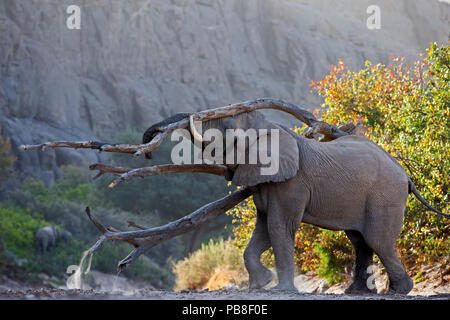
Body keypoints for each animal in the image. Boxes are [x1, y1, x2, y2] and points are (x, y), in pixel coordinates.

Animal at [143, 109, 446, 294]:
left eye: (227, 129)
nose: (147, 153)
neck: (271, 127)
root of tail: (406, 175)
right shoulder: (266, 181)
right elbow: (264, 227)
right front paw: (260, 285)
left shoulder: (292, 182)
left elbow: (279, 226)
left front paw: (280, 289)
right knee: (360, 241)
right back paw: (357, 292)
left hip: (385, 196)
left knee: (377, 240)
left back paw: (398, 291)